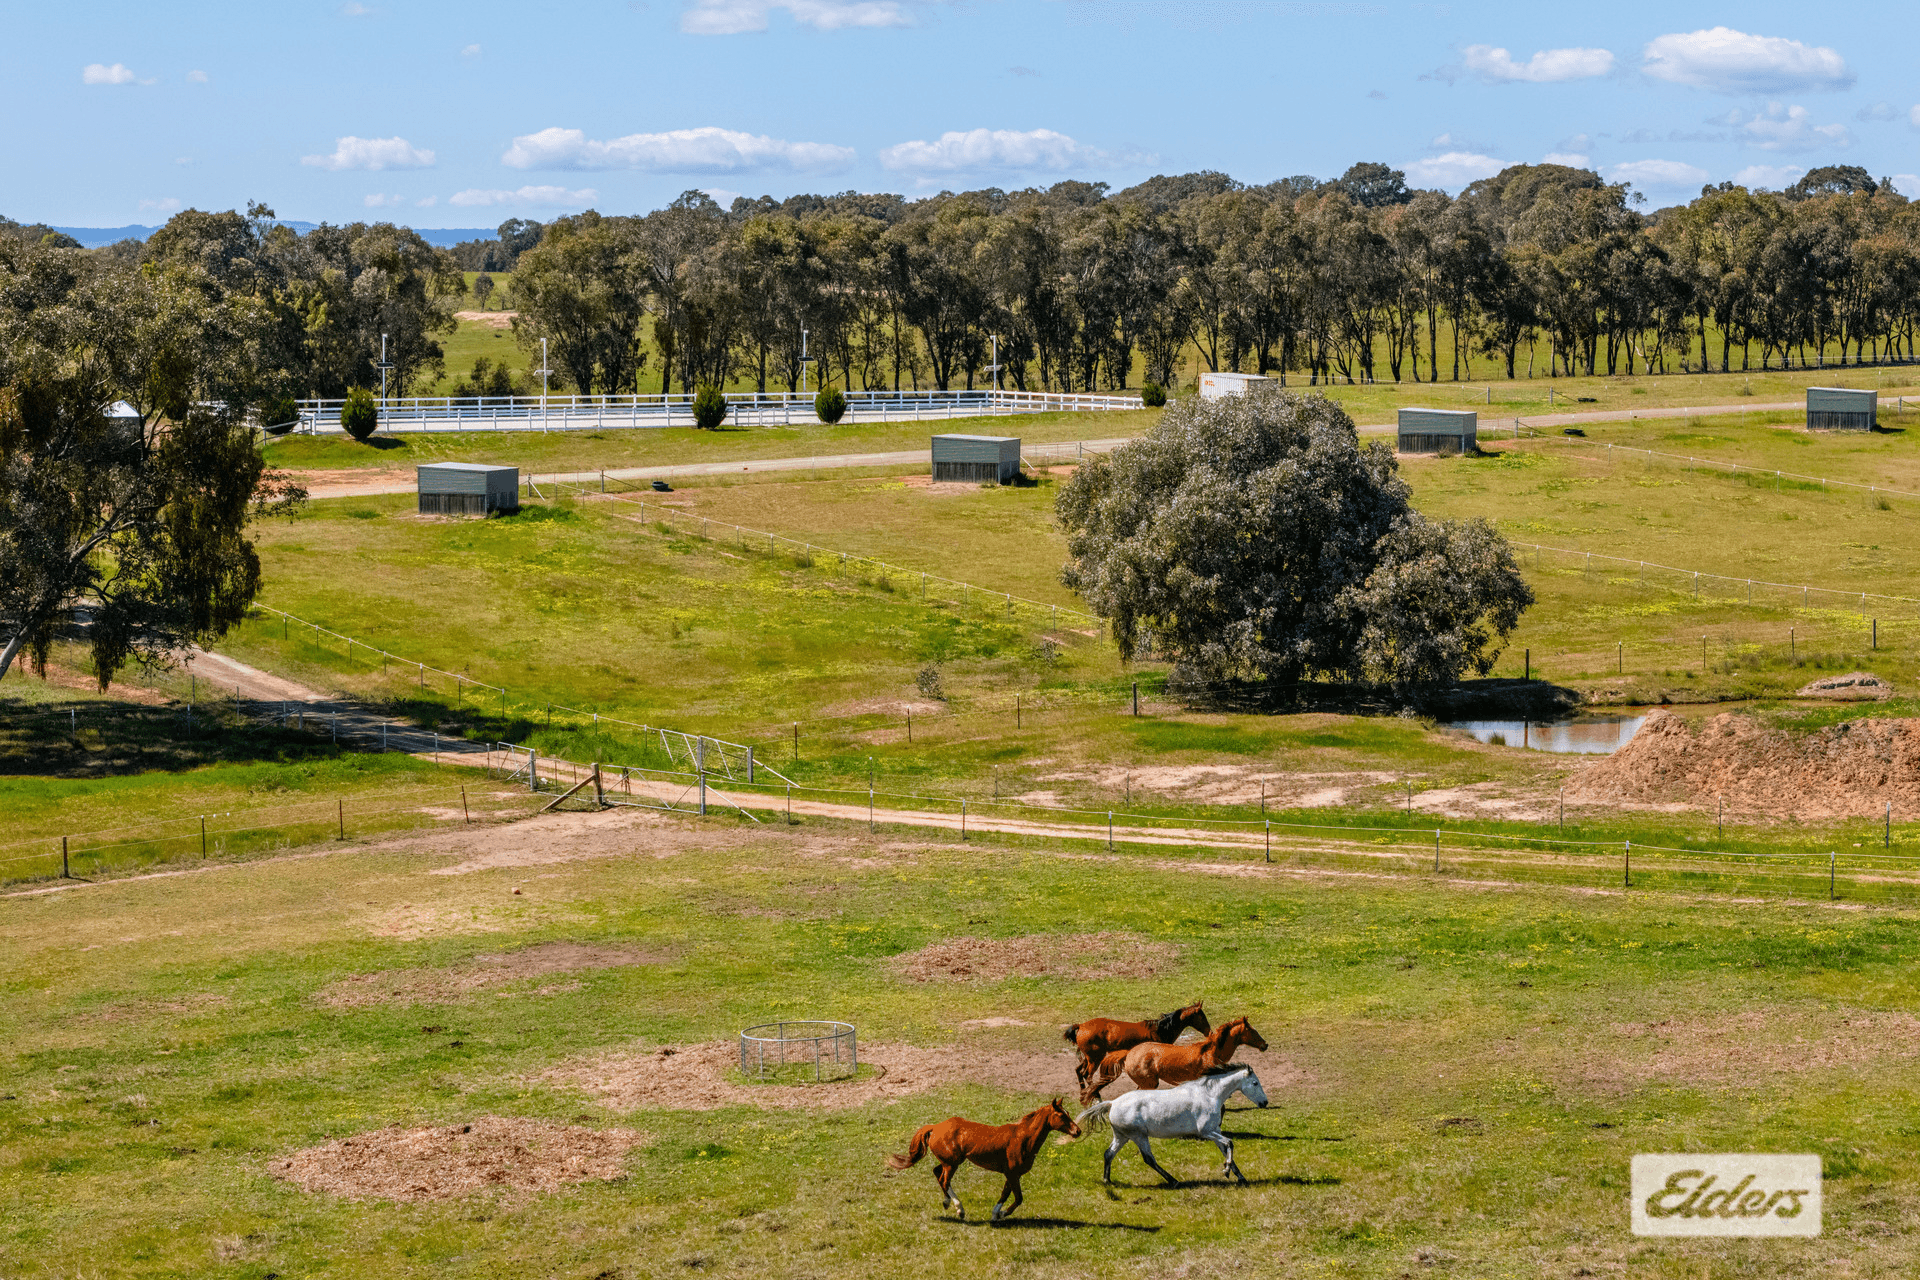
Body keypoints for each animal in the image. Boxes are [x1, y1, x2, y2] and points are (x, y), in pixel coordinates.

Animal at [883, 1097, 1082, 1228]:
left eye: (1067, 1113)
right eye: (1060, 1115)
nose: (1078, 1131)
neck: (1022, 1138)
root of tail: (935, 1126)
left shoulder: (1012, 1175)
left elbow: (1005, 1194)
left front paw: (995, 1214)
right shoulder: (1012, 1173)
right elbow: (1018, 1198)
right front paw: (1001, 1214)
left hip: (950, 1161)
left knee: (937, 1173)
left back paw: (947, 1202)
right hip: (952, 1163)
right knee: (944, 1180)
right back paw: (959, 1209)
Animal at [1059, 1005, 1205, 1090]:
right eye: (1201, 1016)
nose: (1208, 1030)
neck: (1159, 1030)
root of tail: (1081, 1026)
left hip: (1089, 1058)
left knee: (1079, 1071)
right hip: (1095, 1059)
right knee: (1087, 1075)